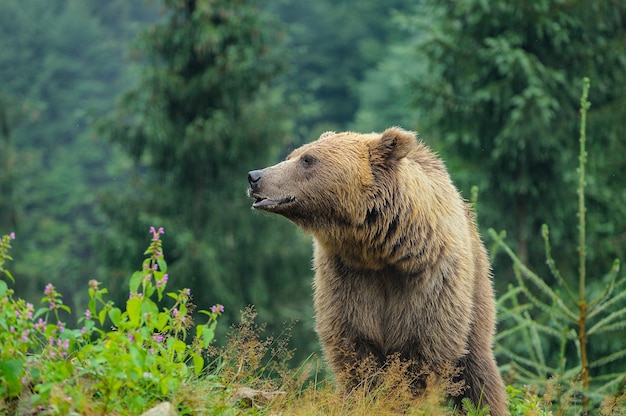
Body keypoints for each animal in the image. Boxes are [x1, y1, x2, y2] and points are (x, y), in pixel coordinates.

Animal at [246, 128, 504, 414]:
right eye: (292, 155)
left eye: (307, 159)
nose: (255, 176)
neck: (379, 251)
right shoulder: (347, 279)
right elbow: (354, 348)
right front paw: (364, 397)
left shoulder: (429, 282)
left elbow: (423, 353)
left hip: (476, 294)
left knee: (477, 372)